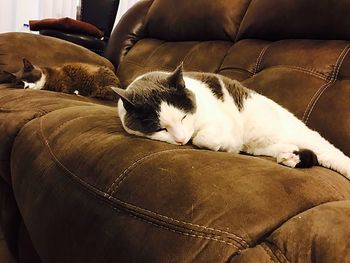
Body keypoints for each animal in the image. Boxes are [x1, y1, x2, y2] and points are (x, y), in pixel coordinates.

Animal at [111, 63, 350, 180]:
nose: (180, 140)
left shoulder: (217, 120)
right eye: (160, 129)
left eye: (183, 117)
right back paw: (289, 156)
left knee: (332, 154)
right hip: (260, 145)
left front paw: (223, 145)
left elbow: (204, 138)